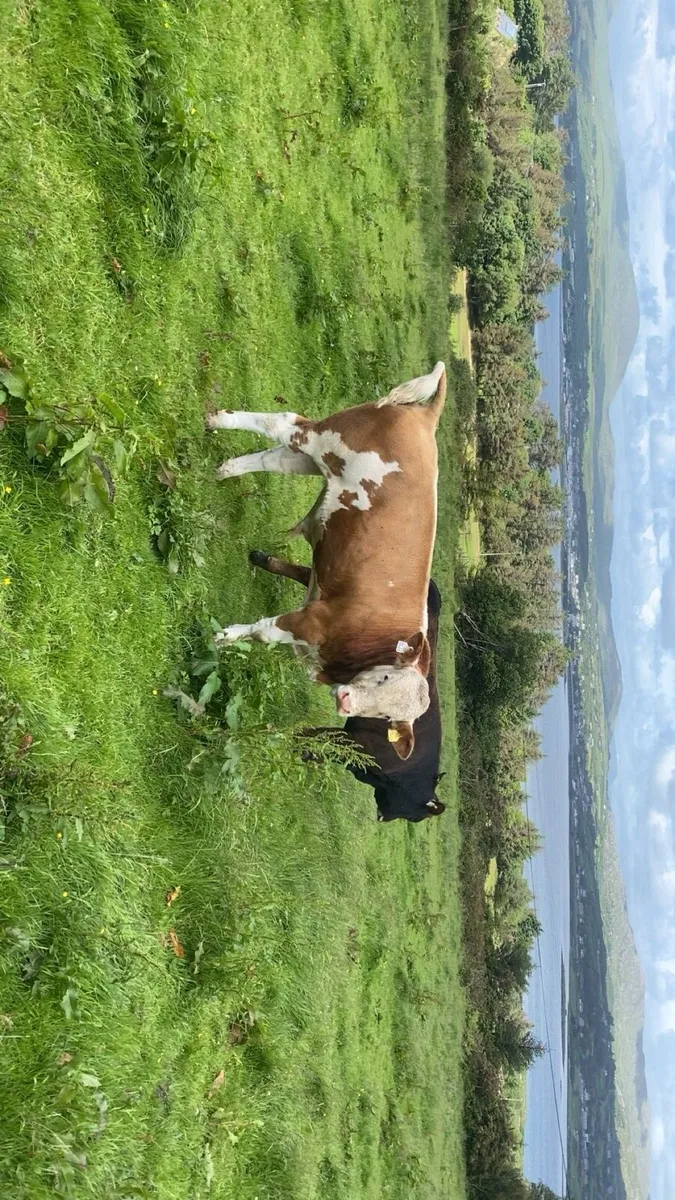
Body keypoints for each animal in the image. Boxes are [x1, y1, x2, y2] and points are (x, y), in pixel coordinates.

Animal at [207, 361, 446, 761]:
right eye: (383, 677)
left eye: (386, 716)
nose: (347, 702)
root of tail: (427, 420)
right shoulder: (311, 621)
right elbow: (263, 631)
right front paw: (225, 636)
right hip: (327, 438)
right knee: (284, 423)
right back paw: (218, 420)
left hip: (317, 461)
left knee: (275, 458)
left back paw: (223, 470)